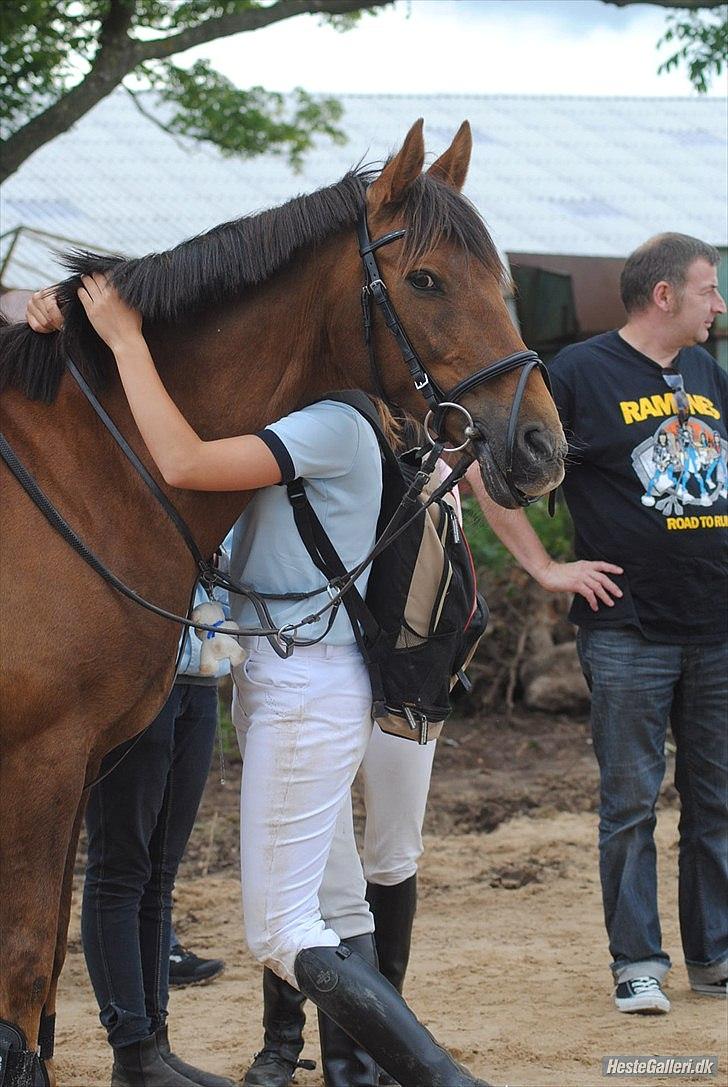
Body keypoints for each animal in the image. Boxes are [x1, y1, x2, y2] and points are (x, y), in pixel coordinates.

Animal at [0, 119, 565, 1078]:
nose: (542, 446)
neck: (87, 467)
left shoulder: (74, 761)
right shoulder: (40, 761)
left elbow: (34, 991)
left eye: (504, 280)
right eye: (425, 278)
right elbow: (29, 965)